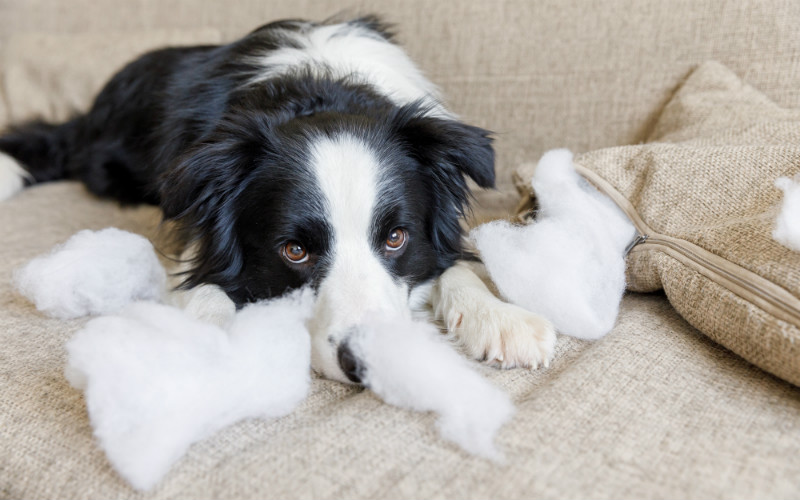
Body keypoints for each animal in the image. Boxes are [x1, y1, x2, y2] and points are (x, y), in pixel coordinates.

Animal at [0, 15, 552, 382]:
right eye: (294, 250)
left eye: (396, 237)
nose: (370, 365)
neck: (321, 89)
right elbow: (205, 284)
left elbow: (453, 265)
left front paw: (502, 319)